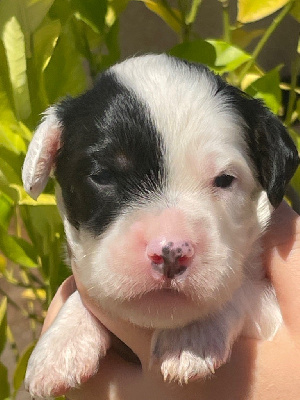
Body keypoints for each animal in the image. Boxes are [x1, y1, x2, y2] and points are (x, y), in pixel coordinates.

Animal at [22, 54, 298, 398]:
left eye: (224, 180)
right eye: (102, 176)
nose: (171, 253)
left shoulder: (271, 310)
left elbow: (244, 291)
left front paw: (191, 335)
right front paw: (62, 342)